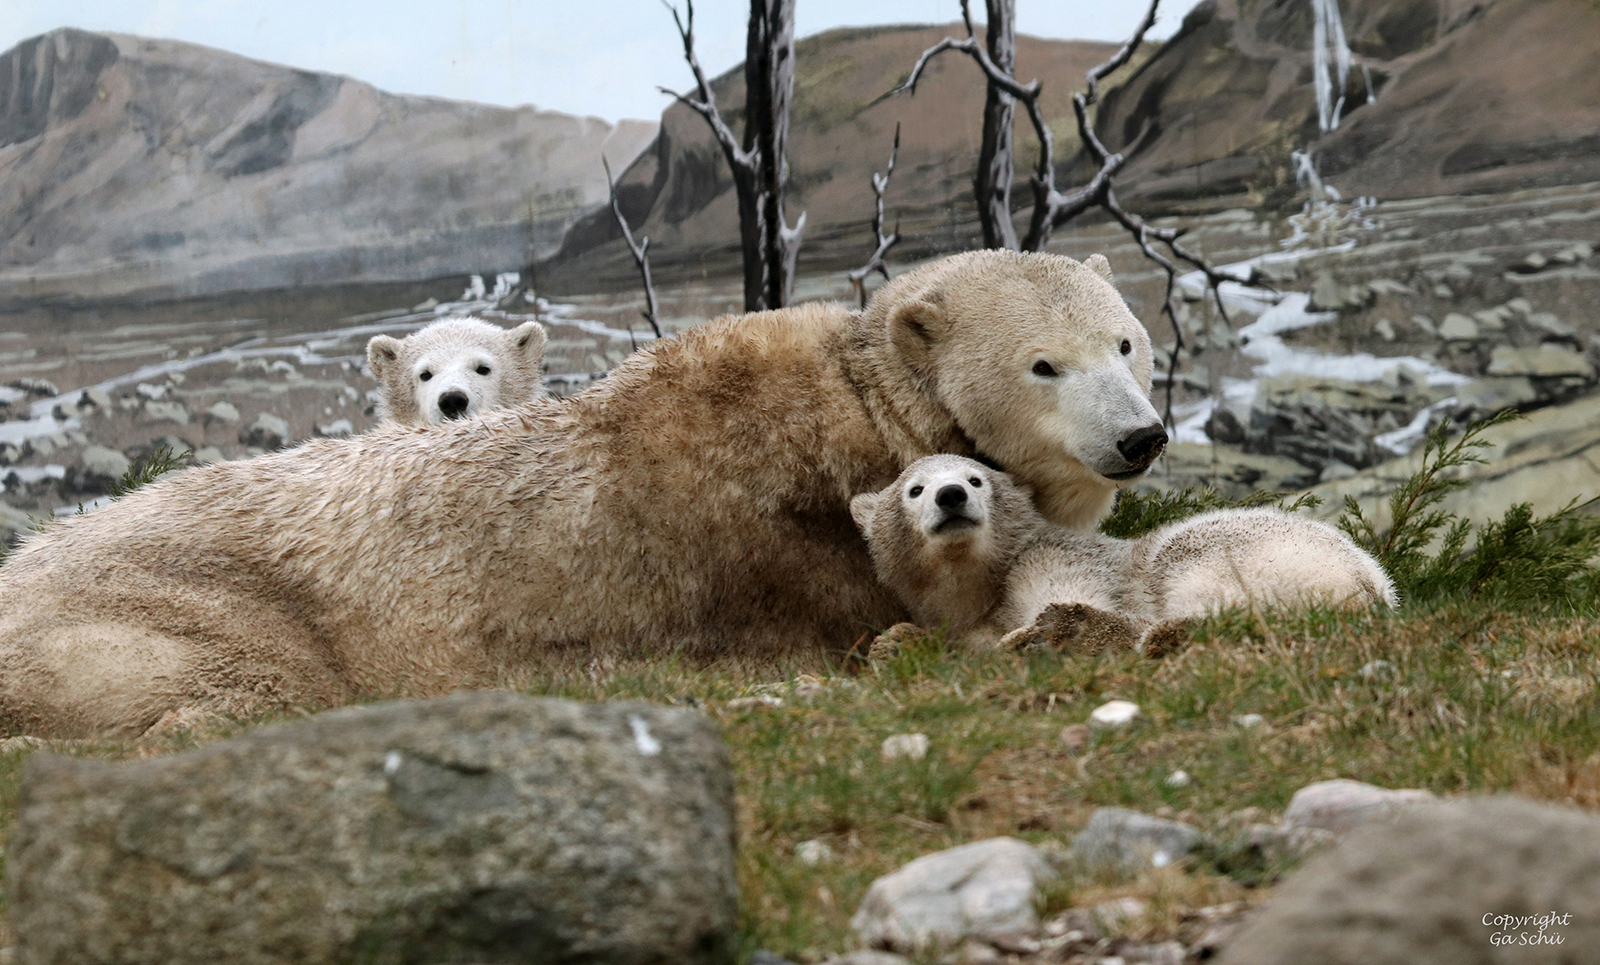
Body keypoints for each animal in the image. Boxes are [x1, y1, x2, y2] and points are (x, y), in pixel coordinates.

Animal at [0, 249, 1164, 732]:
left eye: (1125, 340)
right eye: (1042, 364)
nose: (1142, 435)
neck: (851, 412)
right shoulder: (767, 545)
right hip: (164, 610)